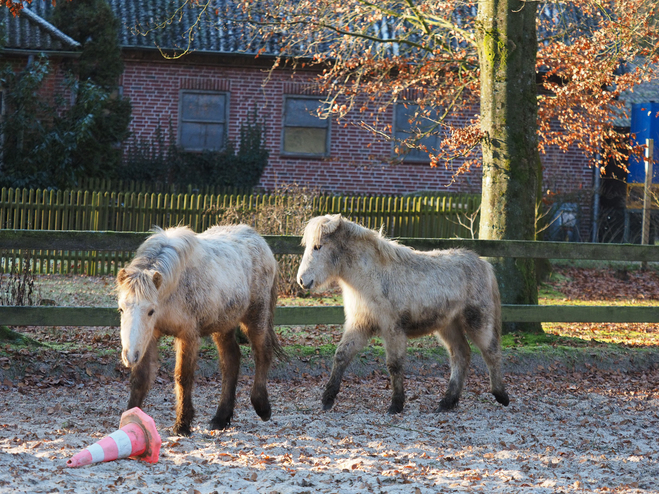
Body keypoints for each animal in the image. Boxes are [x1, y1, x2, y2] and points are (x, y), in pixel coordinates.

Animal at [117, 225, 282, 436]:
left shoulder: (187, 336)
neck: (174, 287)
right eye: (121, 309)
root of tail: (259, 240)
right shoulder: (149, 337)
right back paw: (221, 418)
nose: (129, 356)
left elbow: (183, 377)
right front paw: (130, 419)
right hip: (223, 325)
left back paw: (262, 407)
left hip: (255, 317)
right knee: (231, 361)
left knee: (263, 354)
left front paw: (182, 424)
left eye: (150, 311)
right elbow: (141, 378)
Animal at [300, 215, 510, 412]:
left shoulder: (393, 329)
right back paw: (447, 402)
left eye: (318, 246)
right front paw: (327, 399)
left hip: (478, 322)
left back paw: (501, 396)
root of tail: (484, 264)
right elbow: (342, 355)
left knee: (491, 352)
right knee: (461, 355)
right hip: (449, 326)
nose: (302, 281)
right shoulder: (360, 325)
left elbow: (394, 364)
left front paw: (396, 404)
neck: (371, 276)